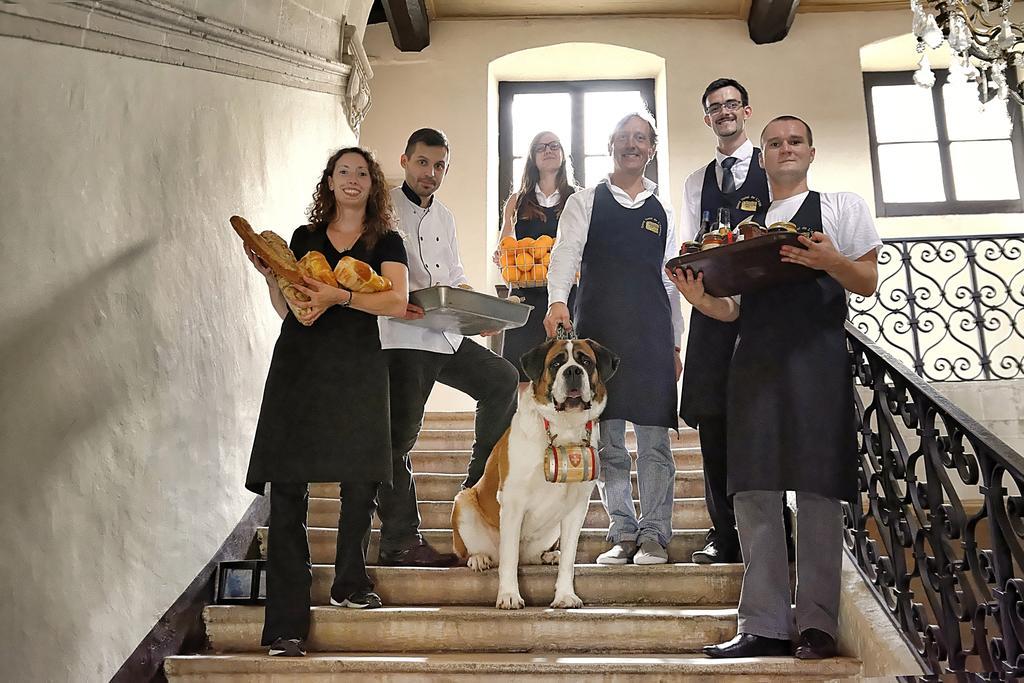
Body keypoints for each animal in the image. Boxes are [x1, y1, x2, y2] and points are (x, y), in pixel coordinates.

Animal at [454, 335, 614, 610]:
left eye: (585, 361)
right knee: (485, 552)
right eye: (556, 363)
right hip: (463, 502)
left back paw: (549, 555)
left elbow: (569, 559)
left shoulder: (576, 508)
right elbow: (508, 560)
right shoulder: (512, 502)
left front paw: (565, 595)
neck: (564, 428)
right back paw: (479, 558)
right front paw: (509, 596)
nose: (573, 371)